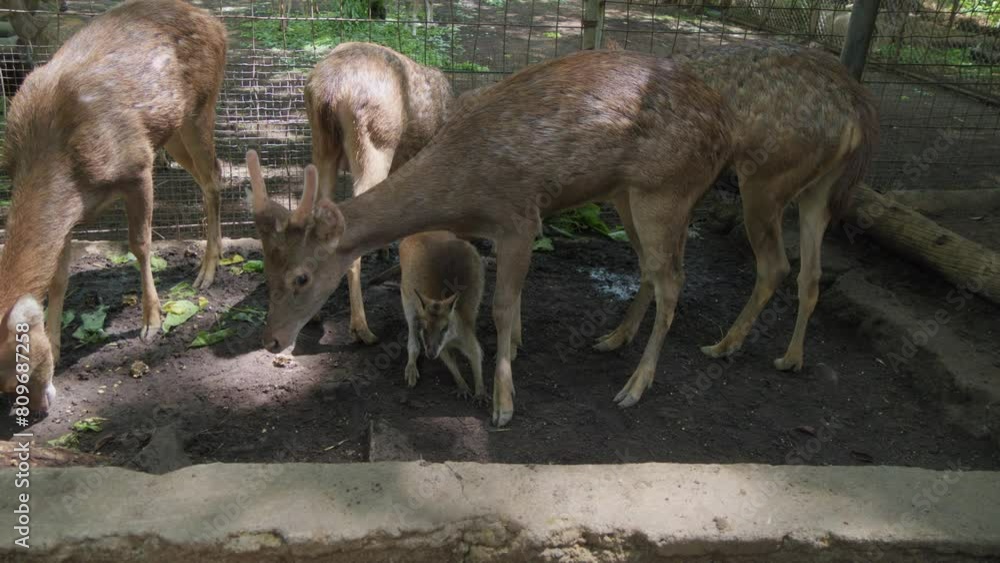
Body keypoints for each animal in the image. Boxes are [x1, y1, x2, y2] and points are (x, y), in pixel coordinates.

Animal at [0, 0, 227, 388]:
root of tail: (216, 24)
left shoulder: (138, 165)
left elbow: (140, 244)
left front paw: (152, 322)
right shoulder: (70, 212)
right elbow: (58, 275)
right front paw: (56, 344)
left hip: (201, 106)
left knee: (214, 176)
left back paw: (207, 272)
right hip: (173, 127)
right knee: (207, 175)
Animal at [399, 230, 485, 400]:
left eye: (444, 328)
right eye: (424, 329)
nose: (431, 355)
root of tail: (419, 234)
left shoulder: (467, 337)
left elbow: (476, 355)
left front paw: (480, 392)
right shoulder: (436, 344)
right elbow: (449, 361)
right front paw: (462, 386)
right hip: (406, 296)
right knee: (412, 334)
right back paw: (411, 370)